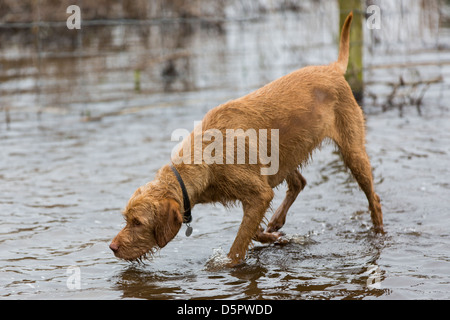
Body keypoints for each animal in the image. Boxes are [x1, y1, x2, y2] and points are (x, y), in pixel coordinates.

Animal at [109, 13, 384, 264]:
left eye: (138, 222)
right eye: (126, 219)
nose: (112, 247)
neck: (206, 157)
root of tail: (332, 68)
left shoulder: (259, 194)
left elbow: (238, 244)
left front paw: (229, 265)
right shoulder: (256, 196)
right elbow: (252, 232)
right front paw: (272, 236)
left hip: (353, 152)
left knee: (374, 198)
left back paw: (379, 232)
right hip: (283, 157)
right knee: (299, 182)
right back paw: (277, 220)